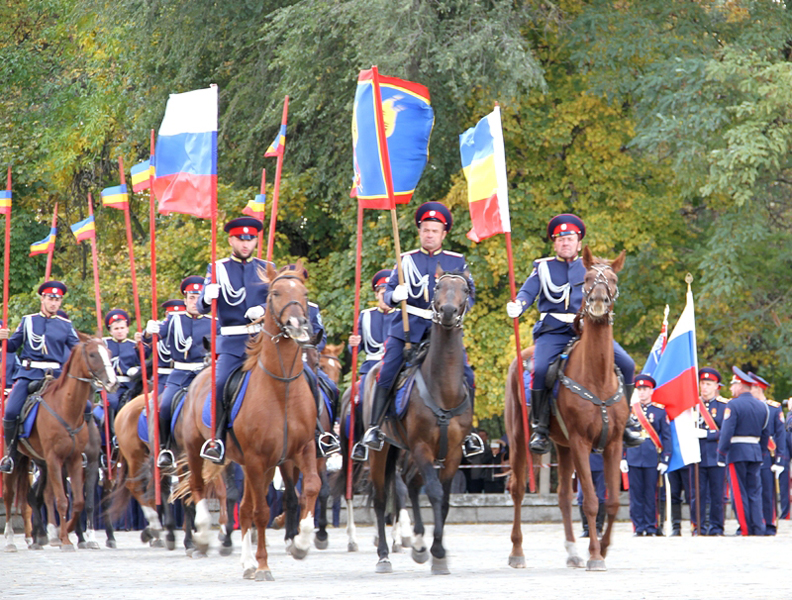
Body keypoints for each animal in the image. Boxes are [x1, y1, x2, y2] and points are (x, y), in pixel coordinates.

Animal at [1, 336, 117, 552]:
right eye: (93, 354)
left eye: (109, 353)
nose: (113, 382)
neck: (68, 409)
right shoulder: (56, 460)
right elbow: (62, 500)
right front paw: (66, 539)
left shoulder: (79, 461)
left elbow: (81, 502)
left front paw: (77, 535)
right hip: (15, 461)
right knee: (10, 495)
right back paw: (12, 539)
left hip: (39, 463)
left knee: (35, 496)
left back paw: (39, 537)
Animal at [178, 264, 320, 580]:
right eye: (275, 293)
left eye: (304, 293)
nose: (298, 323)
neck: (282, 387)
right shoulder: (256, 459)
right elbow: (261, 513)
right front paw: (265, 564)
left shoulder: (301, 450)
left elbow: (311, 488)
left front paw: (301, 543)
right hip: (198, 448)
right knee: (198, 486)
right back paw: (203, 535)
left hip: (260, 466)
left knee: (242, 508)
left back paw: (246, 563)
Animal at [368, 268, 474, 576]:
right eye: (437, 286)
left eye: (465, 290)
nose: (448, 311)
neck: (444, 388)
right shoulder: (421, 447)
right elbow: (436, 494)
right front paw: (438, 552)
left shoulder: (452, 453)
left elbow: (445, 500)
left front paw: (436, 552)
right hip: (383, 451)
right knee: (382, 499)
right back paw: (384, 556)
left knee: (411, 486)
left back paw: (416, 544)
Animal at [504, 246, 628, 568]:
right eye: (588, 278)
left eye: (612, 279)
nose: (598, 303)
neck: (597, 376)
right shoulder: (581, 442)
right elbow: (593, 502)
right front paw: (595, 555)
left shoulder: (613, 443)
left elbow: (612, 502)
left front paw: (603, 548)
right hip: (519, 437)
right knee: (518, 490)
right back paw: (517, 552)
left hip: (563, 446)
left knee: (561, 496)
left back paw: (572, 552)